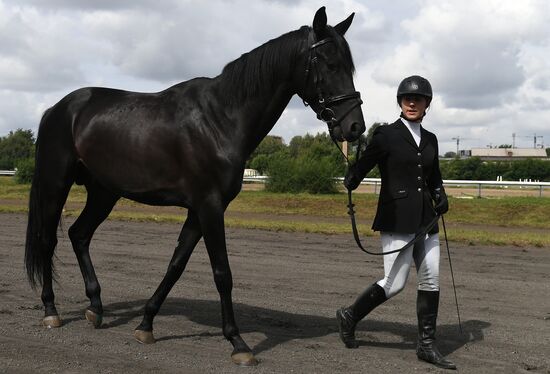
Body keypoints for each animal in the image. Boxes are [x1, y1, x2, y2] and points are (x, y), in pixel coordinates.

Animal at [24, 7, 366, 366]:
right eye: (330, 64)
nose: (355, 127)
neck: (220, 119)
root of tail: (58, 109)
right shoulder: (209, 207)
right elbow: (222, 273)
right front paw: (238, 343)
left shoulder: (197, 211)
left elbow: (175, 266)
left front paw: (146, 325)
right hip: (56, 184)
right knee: (48, 240)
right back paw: (51, 310)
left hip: (105, 193)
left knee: (79, 235)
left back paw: (95, 307)